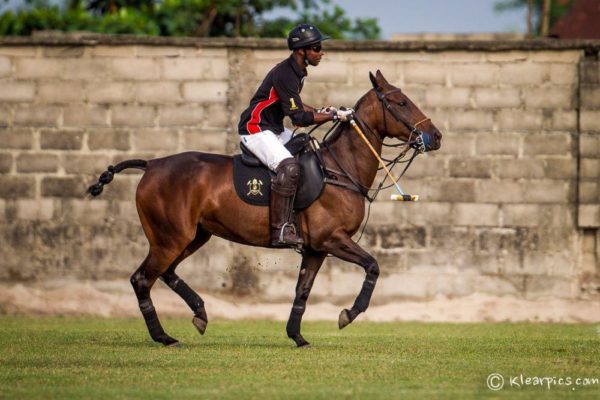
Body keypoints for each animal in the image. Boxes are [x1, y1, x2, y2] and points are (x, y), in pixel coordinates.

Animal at [90, 71, 446, 346]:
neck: (341, 168)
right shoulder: (333, 238)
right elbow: (373, 266)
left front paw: (297, 336)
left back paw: (200, 313)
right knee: (142, 279)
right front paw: (348, 314)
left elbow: (303, 290)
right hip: (170, 238)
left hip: (193, 236)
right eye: (401, 102)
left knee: (165, 273)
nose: (436, 135)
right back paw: (164, 336)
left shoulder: (316, 248)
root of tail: (151, 165)